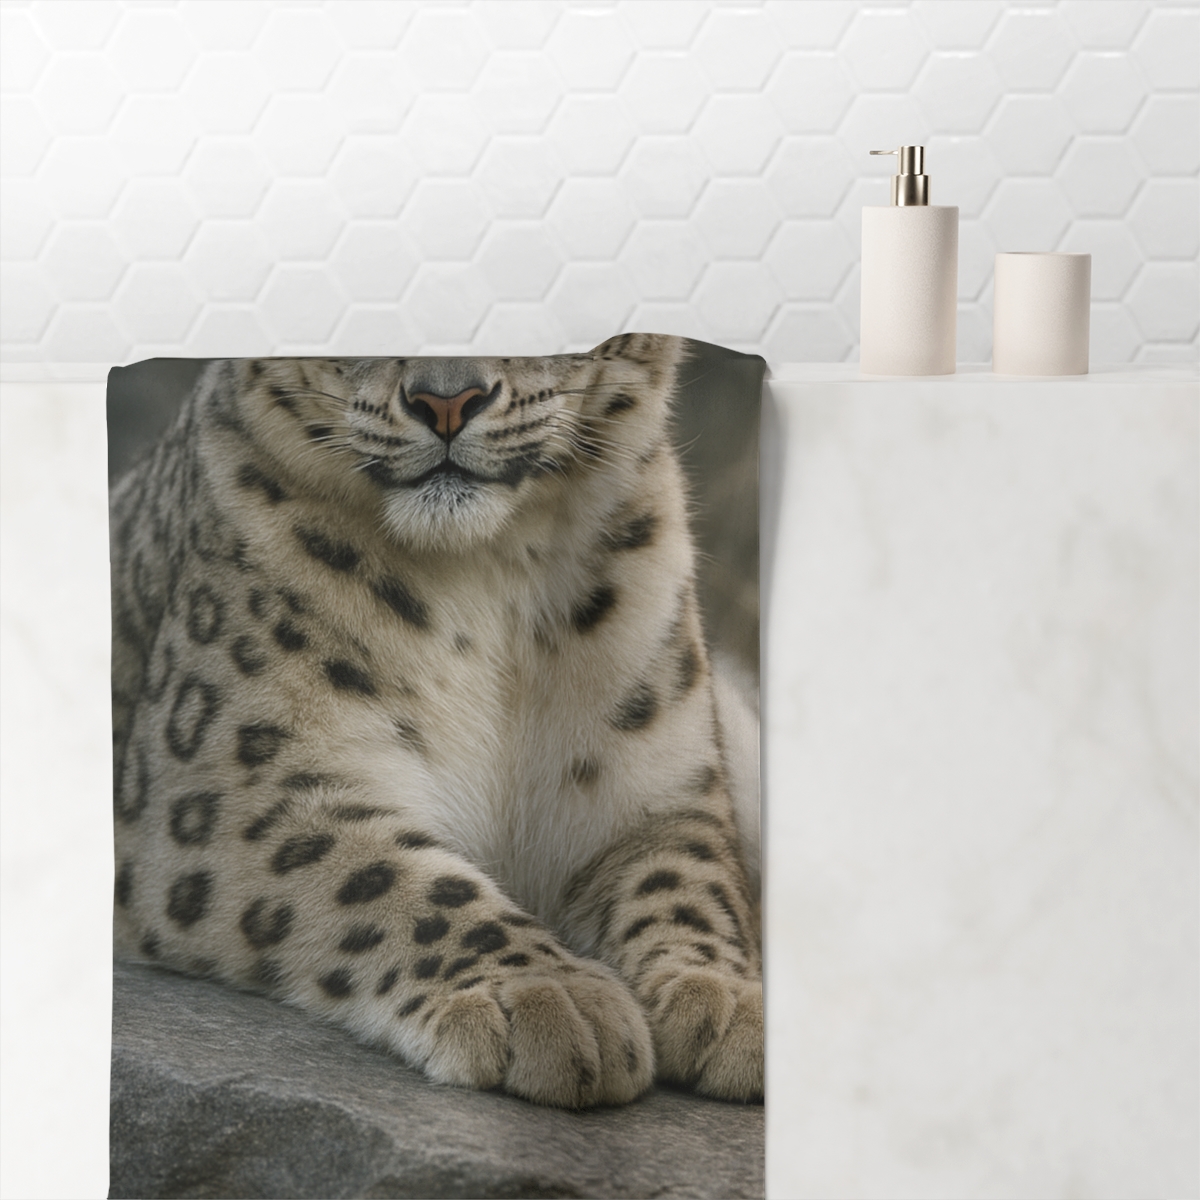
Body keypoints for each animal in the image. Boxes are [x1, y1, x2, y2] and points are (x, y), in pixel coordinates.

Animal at [109, 332, 763, 1109]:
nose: (446, 400)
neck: (494, 578)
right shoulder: (232, 788)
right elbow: (384, 874)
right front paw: (553, 999)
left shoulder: (652, 782)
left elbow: (688, 879)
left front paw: (727, 1002)